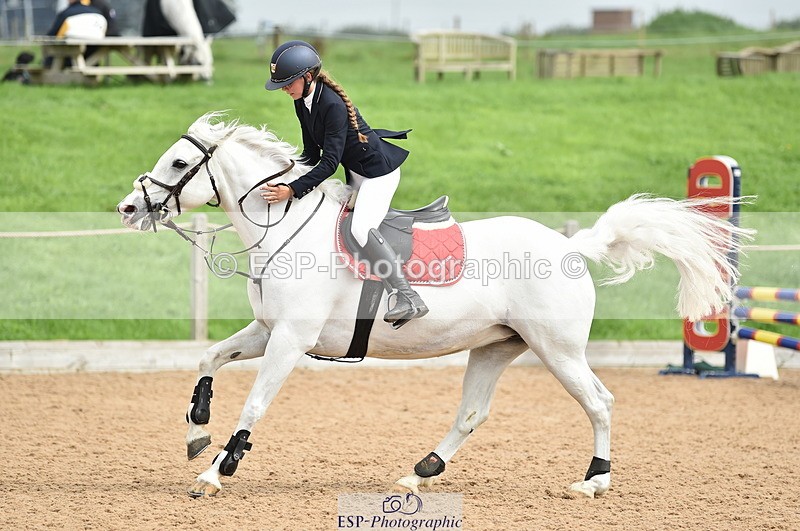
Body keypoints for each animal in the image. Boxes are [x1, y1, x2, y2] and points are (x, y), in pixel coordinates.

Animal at [117, 113, 753, 499]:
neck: (285, 227)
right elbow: (209, 357)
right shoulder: (267, 329)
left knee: (599, 402)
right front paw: (197, 431)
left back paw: (593, 481)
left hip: (558, 348)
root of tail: (570, 247)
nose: (128, 208)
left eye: (179, 164)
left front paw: (216, 471)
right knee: (472, 413)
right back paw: (419, 473)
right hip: (497, 347)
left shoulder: (291, 339)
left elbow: (255, 403)